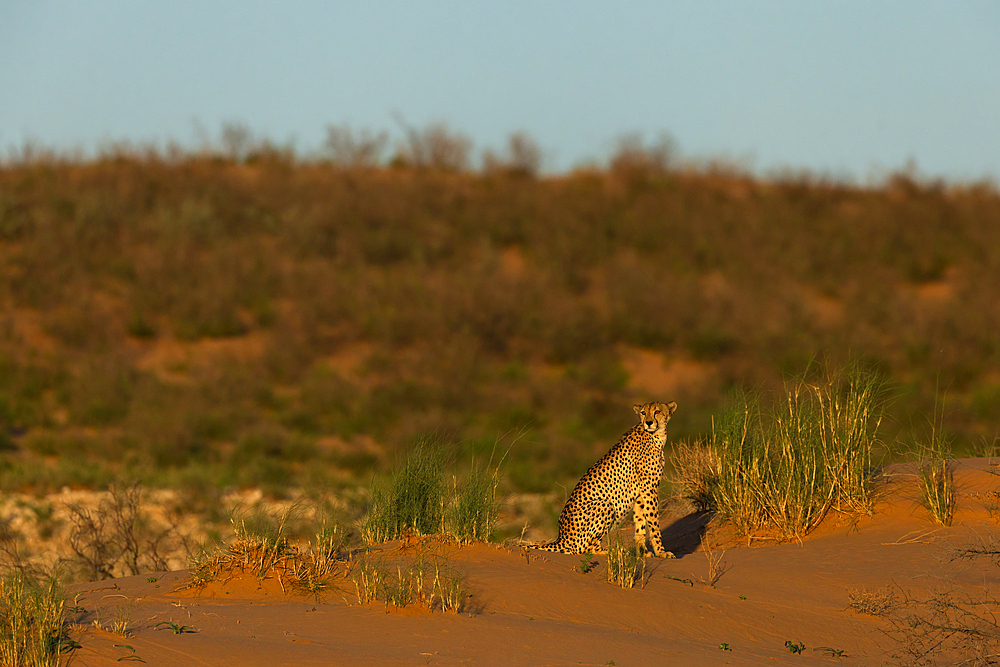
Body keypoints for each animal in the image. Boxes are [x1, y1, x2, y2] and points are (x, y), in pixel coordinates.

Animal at [532, 402, 680, 560]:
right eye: (643, 412)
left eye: (657, 411)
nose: (649, 422)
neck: (656, 435)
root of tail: (561, 537)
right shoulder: (649, 489)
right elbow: (654, 523)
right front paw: (661, 552)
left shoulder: (641, 493)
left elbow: (640, 523)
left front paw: (643, 553)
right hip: (605, 504)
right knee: (587, 549)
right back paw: (615, 551)